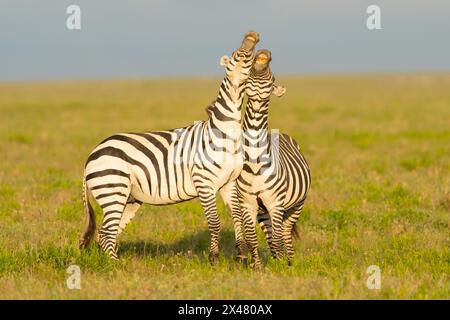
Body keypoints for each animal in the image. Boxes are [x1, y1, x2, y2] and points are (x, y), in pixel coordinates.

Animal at [78, 31, 258, 262]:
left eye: (249, 57)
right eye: (238, 55)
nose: (251, 36)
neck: (224, 131)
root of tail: (92, 154)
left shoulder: (228, 183)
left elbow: (237, 218)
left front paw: (241, 255)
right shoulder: (204, 183)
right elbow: (215, 223)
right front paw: (213, 258)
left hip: (129, 198)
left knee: (104, 233)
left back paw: (111, 262)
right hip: (112, 189)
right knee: (108, 232)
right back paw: (115, 266)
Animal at [234, 50, 312, 268]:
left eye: (273, 79)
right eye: (248, 73)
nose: (263, 54)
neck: (254, 161)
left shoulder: (276, 203)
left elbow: (278, 238)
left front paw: (280, 266)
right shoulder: (248, 203)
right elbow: (252, 238)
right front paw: (258, 267)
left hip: (297, 204)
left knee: (284, 232)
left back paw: (289, 260)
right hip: (263, 211)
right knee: (270, 235)